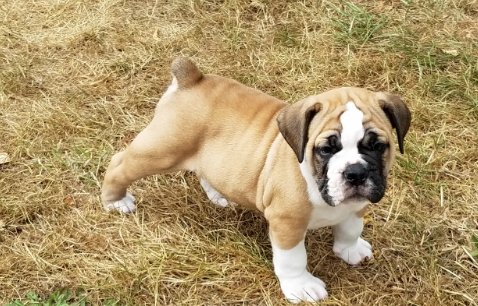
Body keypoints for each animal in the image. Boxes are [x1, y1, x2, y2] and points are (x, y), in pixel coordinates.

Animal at [102, 57, 410, 304]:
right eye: (326, 149)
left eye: (377, 146)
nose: (355, 172)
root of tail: (192, 78)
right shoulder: (287, 223)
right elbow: (292, 259)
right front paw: (301, 287)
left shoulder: (356, 206)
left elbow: (350, 229)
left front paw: (350, 249)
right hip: (161, 150)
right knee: (120, 164)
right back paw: (116, 201)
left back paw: (218, 196)